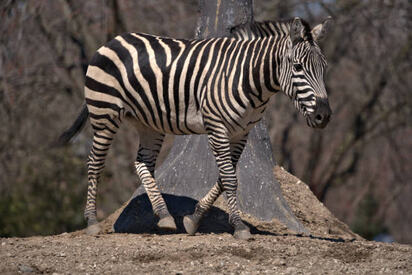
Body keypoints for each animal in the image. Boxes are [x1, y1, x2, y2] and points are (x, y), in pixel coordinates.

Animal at [59, 17, 332, 240]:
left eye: (324, 68)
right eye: (298, 67)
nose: (324, 116)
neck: (247, 76)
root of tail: (113, 40)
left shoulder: (241, 132)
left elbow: (224, 177)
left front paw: (193, 219)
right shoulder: (217, 126)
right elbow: (230, 178)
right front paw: (239, 227)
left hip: (148, 123)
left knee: (142, 162)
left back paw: (165, 217)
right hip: (104, 113)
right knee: (95, 163)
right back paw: (92, 222)